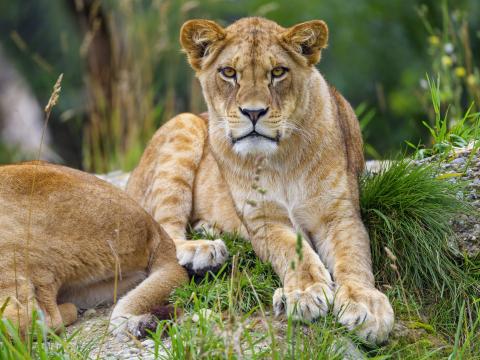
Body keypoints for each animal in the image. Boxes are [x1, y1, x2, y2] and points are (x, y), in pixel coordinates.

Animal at [127, 16, 394, 344]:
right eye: (229, 73)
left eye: (278, 72)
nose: (253, 113)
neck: (279, 160)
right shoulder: (264, 220)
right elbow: (293, 253)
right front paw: (305, 293)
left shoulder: (339, 214)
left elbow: (354, 257)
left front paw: (365, 304)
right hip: (185, 123)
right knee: (164, 229)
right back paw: (203, 250)